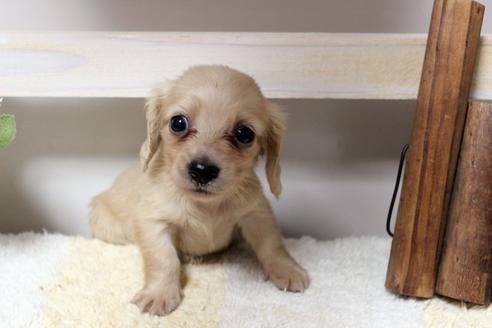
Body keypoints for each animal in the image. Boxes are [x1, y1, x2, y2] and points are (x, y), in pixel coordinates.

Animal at [89, 65, 308, 316]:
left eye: (244, 134)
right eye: (178, 123)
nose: (202, 171)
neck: (205, 206)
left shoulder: (256, 215)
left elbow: (272, 245)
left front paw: (287, 270)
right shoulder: (153, 223)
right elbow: (164, 259)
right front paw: (160, 293)